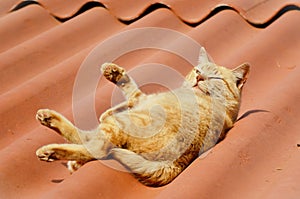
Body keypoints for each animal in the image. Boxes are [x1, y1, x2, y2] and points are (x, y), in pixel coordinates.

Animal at [36, 48, 250, 187]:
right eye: (198, 70)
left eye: (215, 78)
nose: (199, 77)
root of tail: (173, 164)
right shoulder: (140, 100)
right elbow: (125, 98)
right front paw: (113, 73)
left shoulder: (141, 101)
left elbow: (130, 89)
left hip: (122, 124)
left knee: (98, 148)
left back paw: (49, 148)